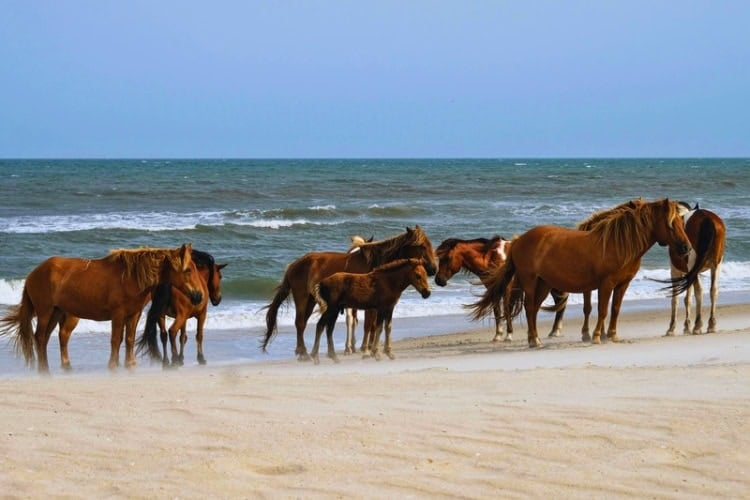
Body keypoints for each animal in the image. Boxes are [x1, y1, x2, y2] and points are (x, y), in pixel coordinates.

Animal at [0, 244, 204, 373]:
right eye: (188, 270)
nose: (199, 296)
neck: (130, 278)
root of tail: (33, 274)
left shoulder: (133, 314)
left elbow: (128, 339)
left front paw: (129, 364)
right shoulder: (118, 314)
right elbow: (115, 340)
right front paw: (112, 365)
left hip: (56, 312)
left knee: (47, 338)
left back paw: (62, 365)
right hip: (45, 312)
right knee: (40, 337)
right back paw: (44, 369)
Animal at [261, 225, 437, 361]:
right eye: (422, 246)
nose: (434, 269)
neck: (376, 264)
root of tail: (293, 265)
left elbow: (376, 326)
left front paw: (374, 350)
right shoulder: (372, 306)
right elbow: (370, 326)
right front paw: (367, 350)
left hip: (311, 300)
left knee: (303, 323)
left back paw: (304, 352)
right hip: (302, 297)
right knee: (300, 323)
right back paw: (304, 354)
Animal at [435, 236, 568, 342]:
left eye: (447, 258)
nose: (438, 280)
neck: (493, 258)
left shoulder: (507, 288)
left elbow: (507, 309)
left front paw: (509, 335)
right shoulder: (493, 289)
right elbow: (497, 311)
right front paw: (498, 335)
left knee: (561, 304)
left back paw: (555, 331)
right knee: (560, 303)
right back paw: (554, 331)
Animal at [468, 199, 696, 347]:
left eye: (681, 222)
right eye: (670, 223)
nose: (686, 247)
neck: (618, 245)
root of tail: (518, 240)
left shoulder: (623, 284)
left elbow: (615, 310)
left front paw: (612, 335)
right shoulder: (605, 284)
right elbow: (602, 310)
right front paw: (596, 336)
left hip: (543, 283)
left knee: (533, 309)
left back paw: (535, 339)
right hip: (531, 281)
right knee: (529, 307)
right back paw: (535, 340)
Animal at [666, 203, 726, 335]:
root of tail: (706, 218)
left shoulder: (675, 271)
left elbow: (675, 299)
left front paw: (672, 328)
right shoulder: (691, 273)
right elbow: (687, 298)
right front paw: (686, 326)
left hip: (693, 263)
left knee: (699, 290)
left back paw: (698, 325)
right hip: (716, 264)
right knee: (713, 290)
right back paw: (711, 324)